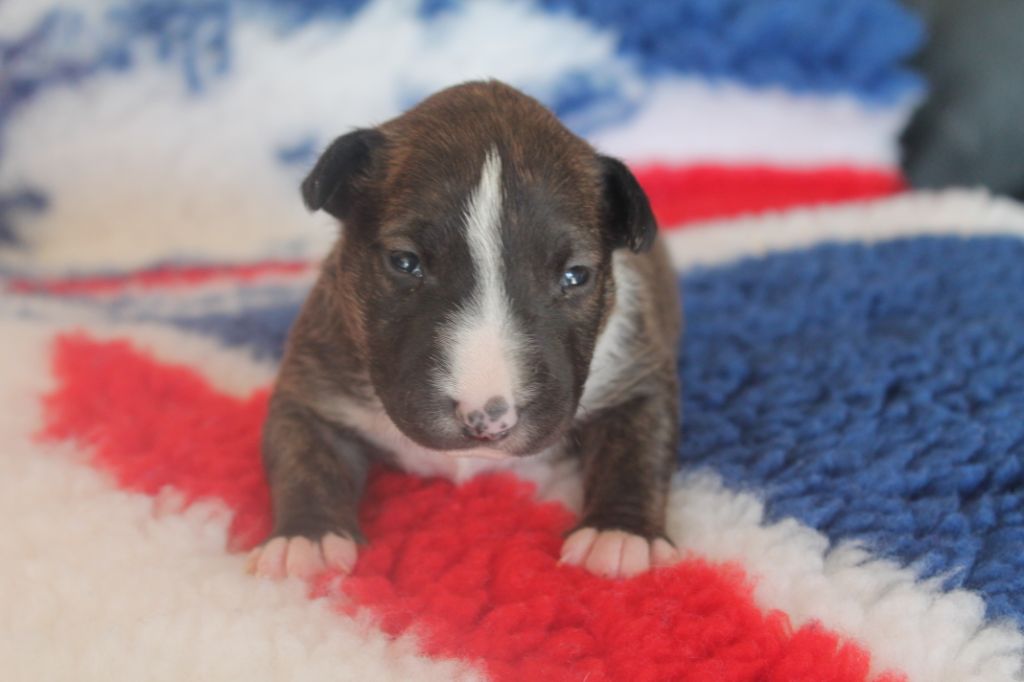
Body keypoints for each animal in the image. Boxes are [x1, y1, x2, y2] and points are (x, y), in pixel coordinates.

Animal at [247, 80, 682, 581]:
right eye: (404, 262)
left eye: (576, 276)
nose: (488, 419)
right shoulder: (312, 384)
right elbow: (303, 456)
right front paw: (308, 536)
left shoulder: (638, 373)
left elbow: (636, 450)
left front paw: (620, 533)